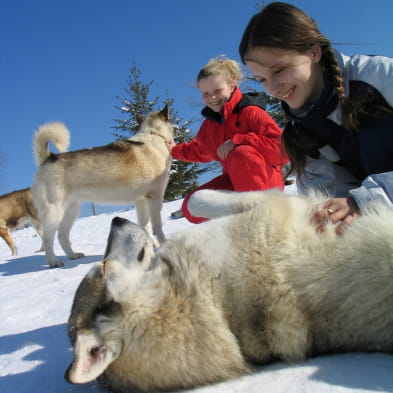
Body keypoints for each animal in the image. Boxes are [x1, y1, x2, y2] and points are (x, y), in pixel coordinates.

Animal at [30, 105, 172, 268]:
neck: (155, 136)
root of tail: (49, 158)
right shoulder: (154, 197)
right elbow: (157, 226)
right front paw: (164, 244)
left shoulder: (141, 201)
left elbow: (145, 225)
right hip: (53, 213)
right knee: (47, 240)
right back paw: (54, 262)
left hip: (71, 210)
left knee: (62, 235)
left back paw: (73, 255)